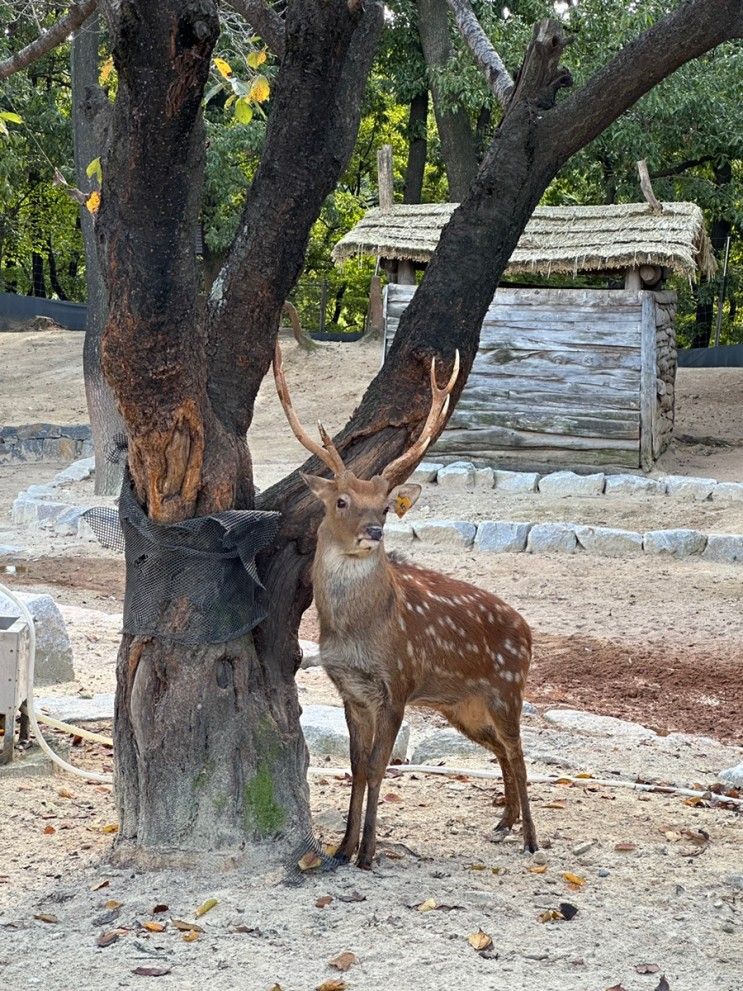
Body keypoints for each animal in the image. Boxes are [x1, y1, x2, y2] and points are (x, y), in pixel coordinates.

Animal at [272, 340, 536, 868]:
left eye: (386, 505)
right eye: (342, 501)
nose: (374, 531)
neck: (357, 634)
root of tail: (529, 633)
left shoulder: (398, 683)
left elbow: (378, 768)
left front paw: (368, 853)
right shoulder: (351, 691)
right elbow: (357, 768)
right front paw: (341, 849)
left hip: (506, 689)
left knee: (519, 752)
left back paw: (532, 839)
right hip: (464, 706)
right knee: (500, 750)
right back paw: (504, 822)